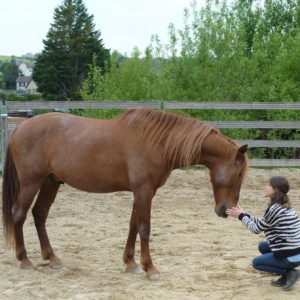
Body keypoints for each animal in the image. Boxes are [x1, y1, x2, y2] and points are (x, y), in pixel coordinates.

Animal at [1, 109, 247, 280]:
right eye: (238, 175)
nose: (226, 210)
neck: (157, 142)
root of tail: (19, 129)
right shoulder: (143, 190)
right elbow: (145, 228)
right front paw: (150, 268)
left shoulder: (144, 192)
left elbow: (133, 225)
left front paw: (131, 263)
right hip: (31, 182)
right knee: (19, 214)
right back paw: (24, 259)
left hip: (50, 182)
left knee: (39, 215)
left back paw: (51, 257)